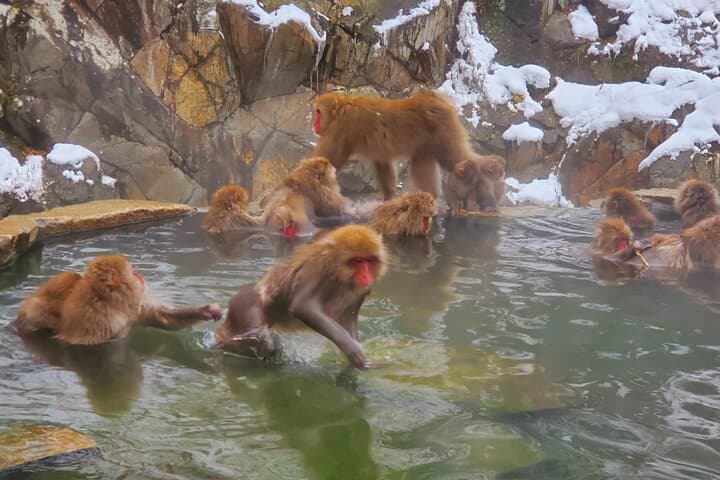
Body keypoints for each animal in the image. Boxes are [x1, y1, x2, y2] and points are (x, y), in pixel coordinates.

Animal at [14, 255, 222, 345]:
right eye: (131, 272)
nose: (140, 275)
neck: (114, 305)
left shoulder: (134, 309)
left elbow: (164, 319)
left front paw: (206, 310)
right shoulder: (98, 321)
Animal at [216, 225, 387, 369]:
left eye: (369, 260)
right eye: (358, 260)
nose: (366, 275)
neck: (338, 273)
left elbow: (348, 319)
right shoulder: (313, 269)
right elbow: (303, 308)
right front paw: (352, 349)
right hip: (243, 306)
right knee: (263, 341)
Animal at [312, 90, 479, 200]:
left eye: (318, 112)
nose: (314, 124)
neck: (341, 110)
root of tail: (434, 97)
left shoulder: (341, 128)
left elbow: (326, 160)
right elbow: (383, 164)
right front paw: (389, 198)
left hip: (444, 132)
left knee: (454, 158)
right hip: (428, 142)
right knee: (421, 163)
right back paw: (430, 195)